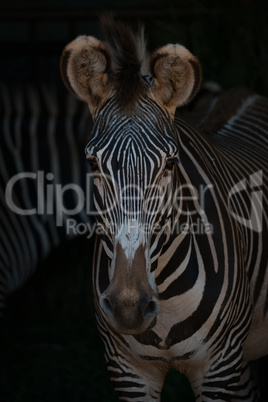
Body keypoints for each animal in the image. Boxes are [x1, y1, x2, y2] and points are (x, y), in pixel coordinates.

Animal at [60, 17, 268, 400]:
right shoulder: (128, 371)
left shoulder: (218, 368)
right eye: (93, 164)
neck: (167, 304)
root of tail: (241, 92)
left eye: (170, 163)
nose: (129, 307)